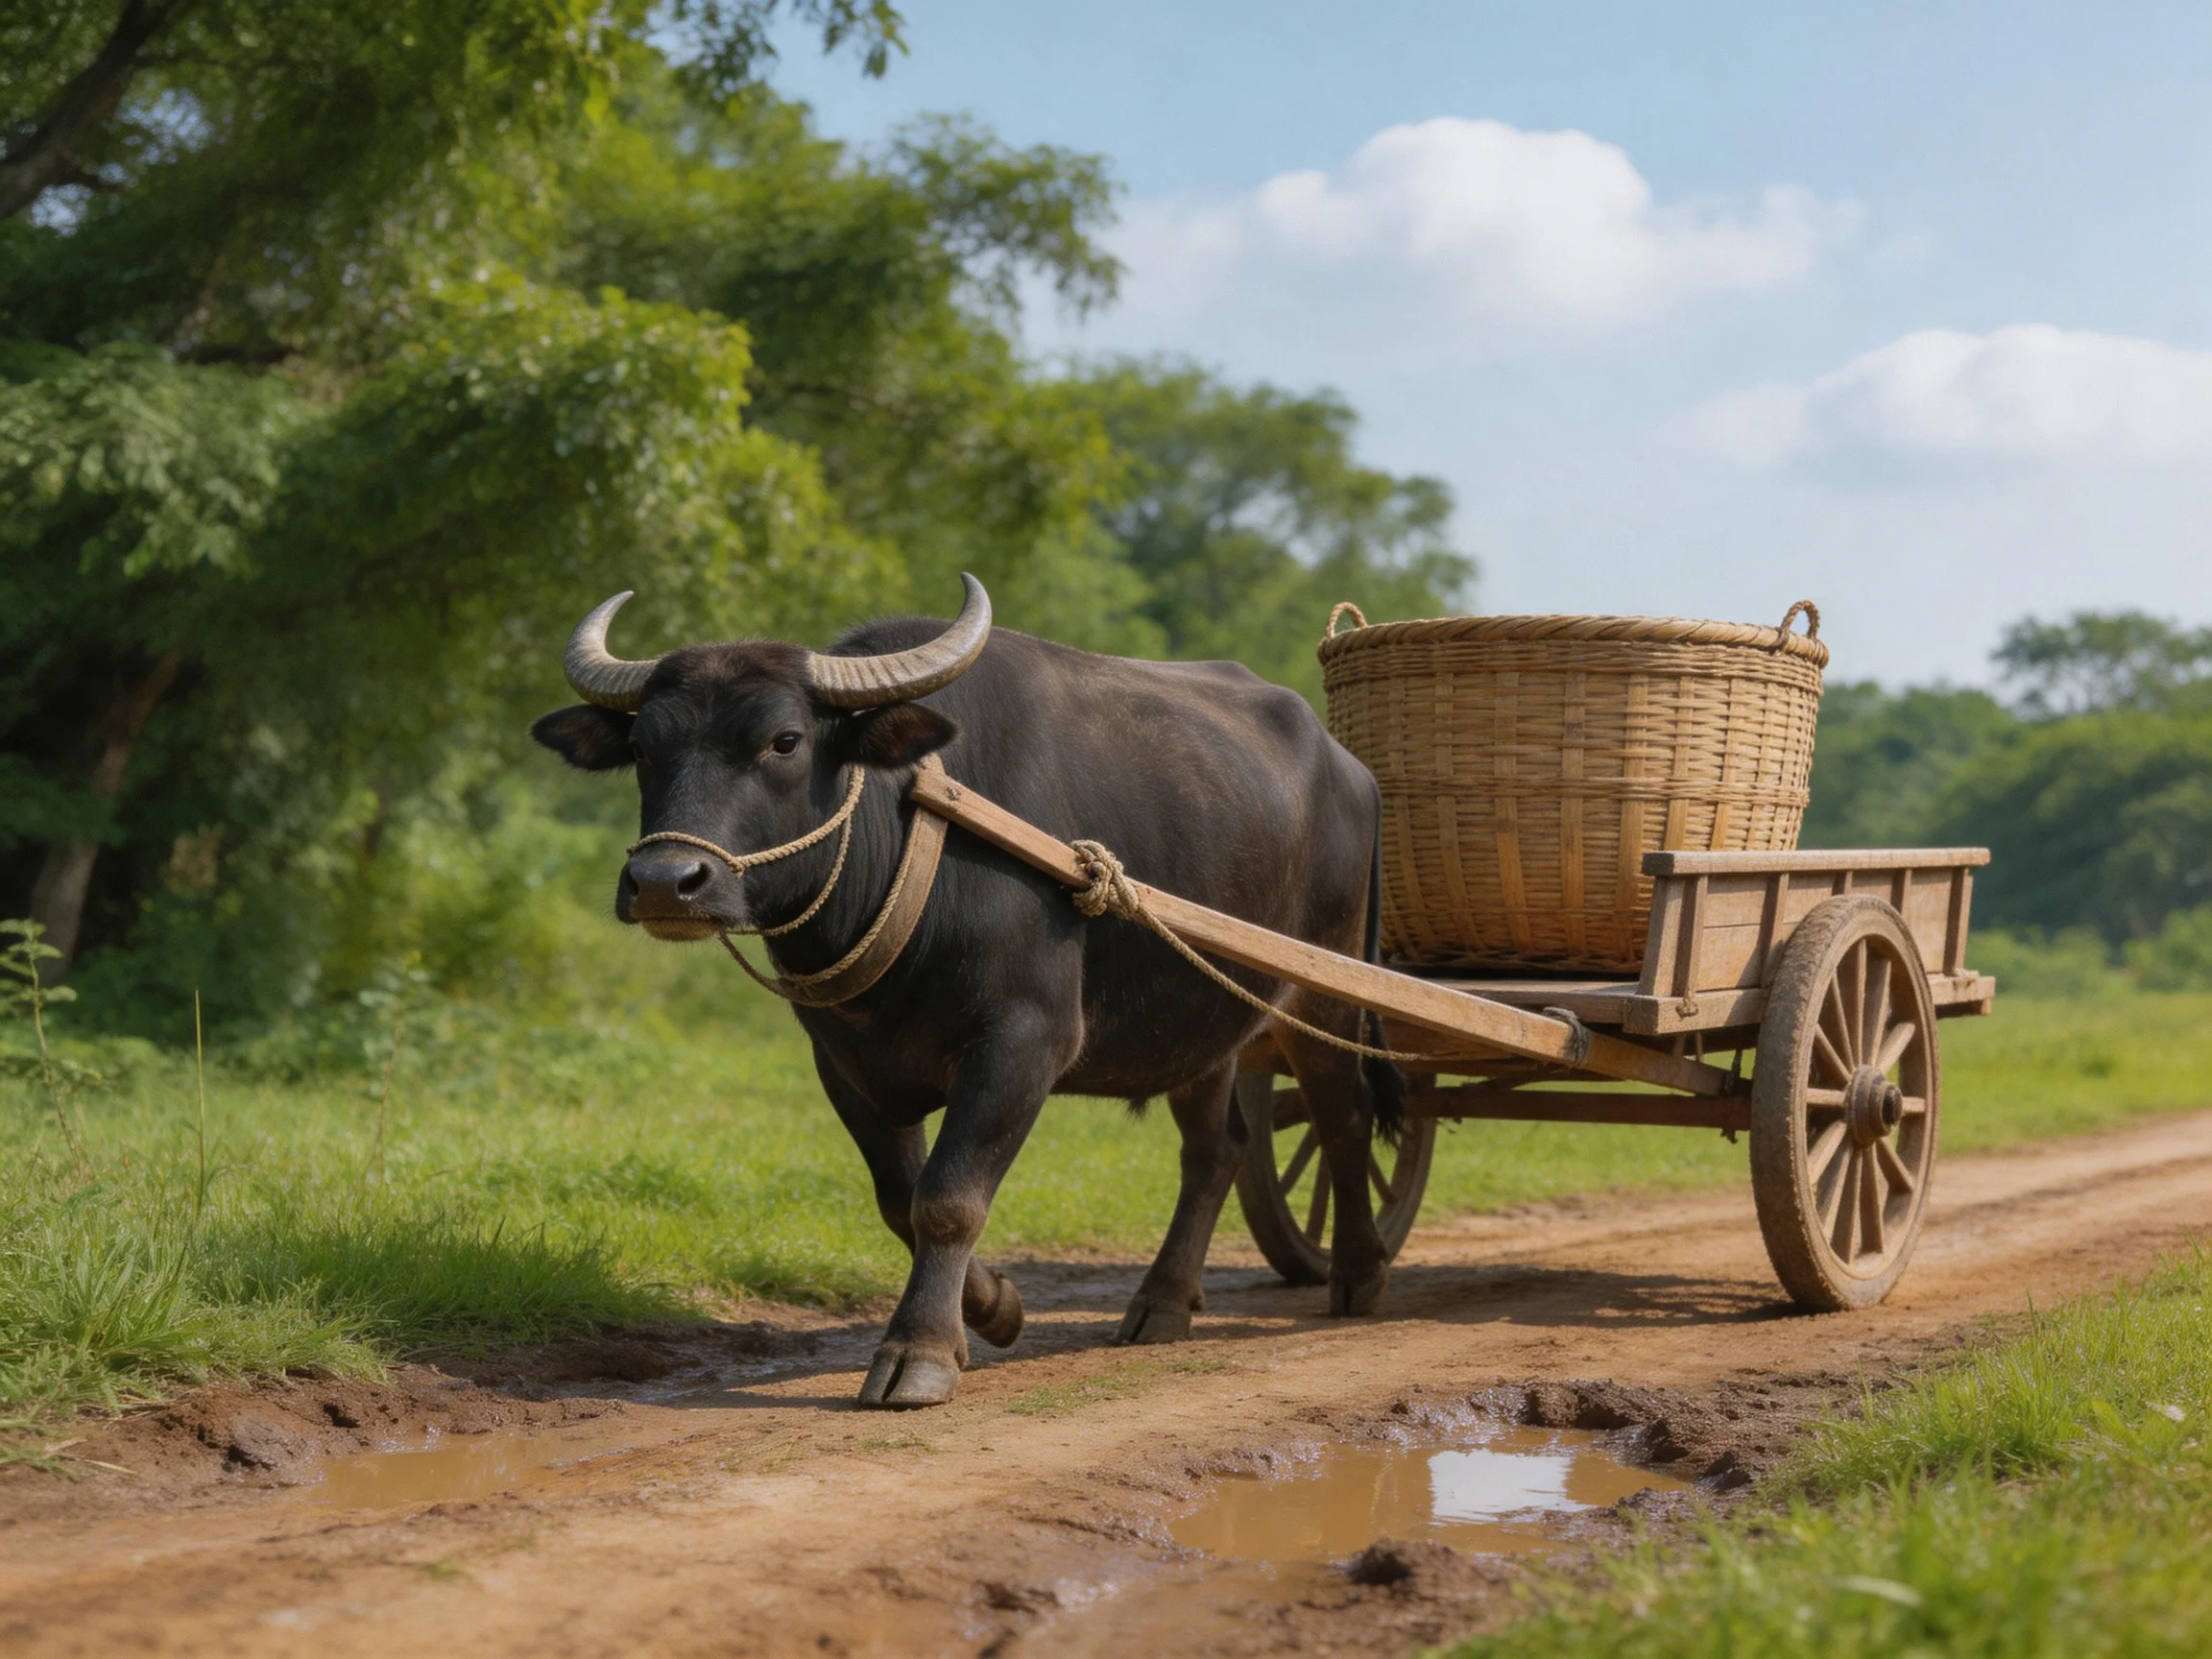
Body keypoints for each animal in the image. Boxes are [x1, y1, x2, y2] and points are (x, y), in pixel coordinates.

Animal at [532, 577, 1400, 1407]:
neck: (915, 840)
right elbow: (899, 1199)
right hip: (1202, 1019)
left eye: (784, 740)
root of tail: (1354, 772)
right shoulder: (843, 1062)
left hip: (1325, 993)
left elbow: (949, 1197)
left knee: (1342, 1115)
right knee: (1217, 1147)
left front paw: (917, 1352)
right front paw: (996, 1307)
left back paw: (1359, 1275)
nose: (664, 882)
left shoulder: (1024, 1043)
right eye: (644, 747)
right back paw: (1162, 1302)